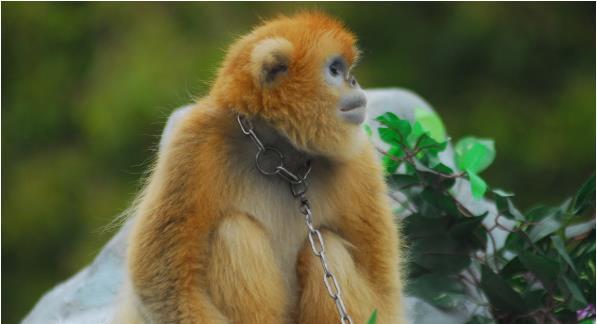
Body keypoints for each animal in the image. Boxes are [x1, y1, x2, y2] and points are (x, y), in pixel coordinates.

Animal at [115, 11, 406, 324]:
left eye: (345, 70)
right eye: (335, 70)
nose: (353, 80)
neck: (280, 154)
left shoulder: (360, 160)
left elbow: (386, 296)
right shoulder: (194, 140)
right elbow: (161, 283)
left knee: (327, 247)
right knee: (234, 232)